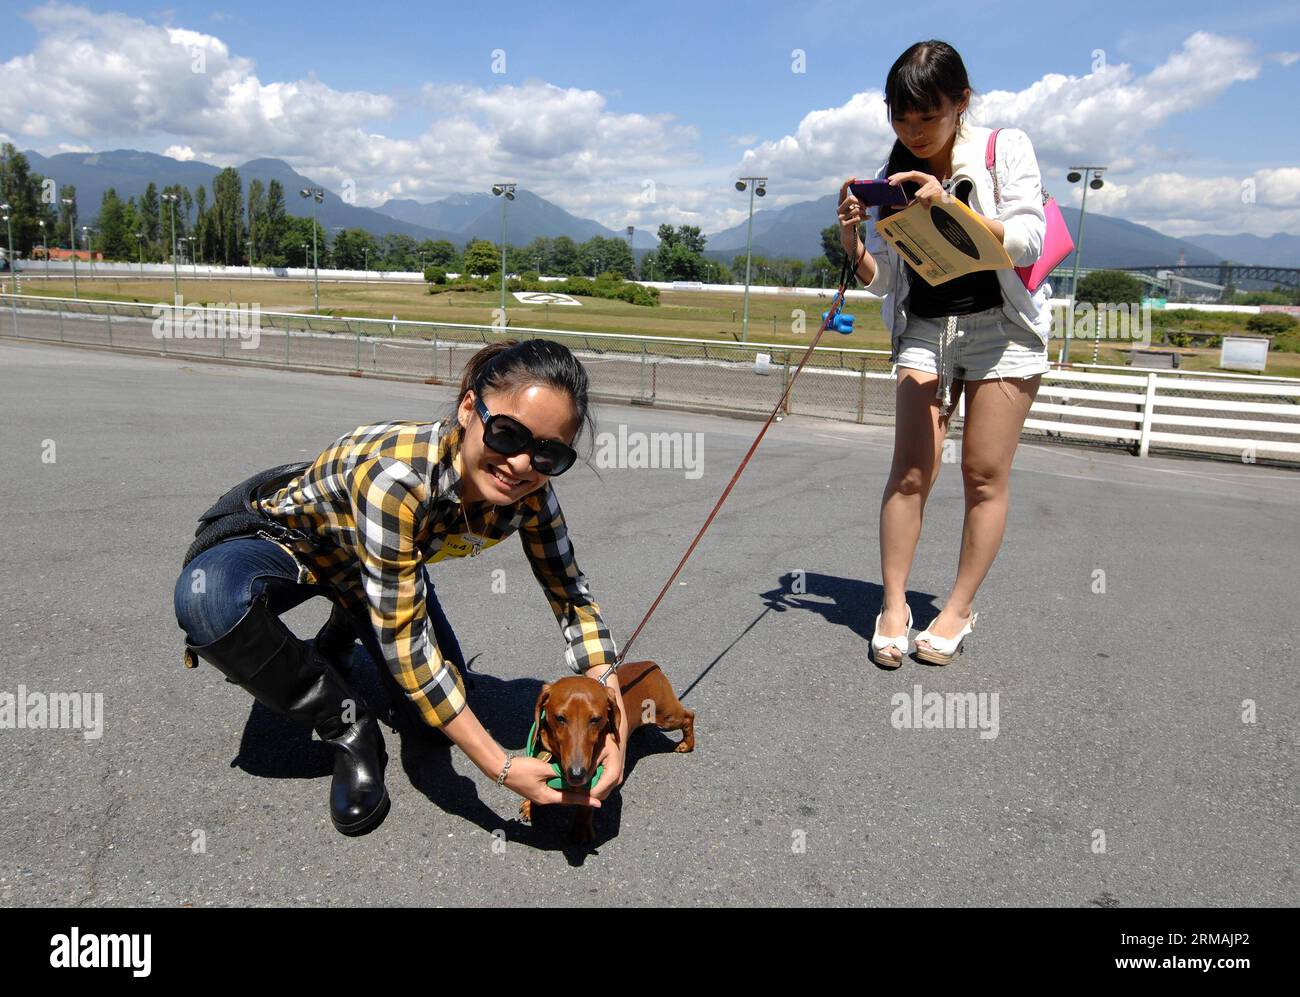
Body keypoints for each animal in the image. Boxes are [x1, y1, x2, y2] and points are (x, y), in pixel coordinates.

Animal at [522, 662, 696, 842]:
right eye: (560, 718)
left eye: (595, 719)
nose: (577, 775)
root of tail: (649, 664)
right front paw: (529, 804)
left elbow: (586, 806)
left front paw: (580, 829)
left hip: (668, 716)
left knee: (689, 716)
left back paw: (686, 744)